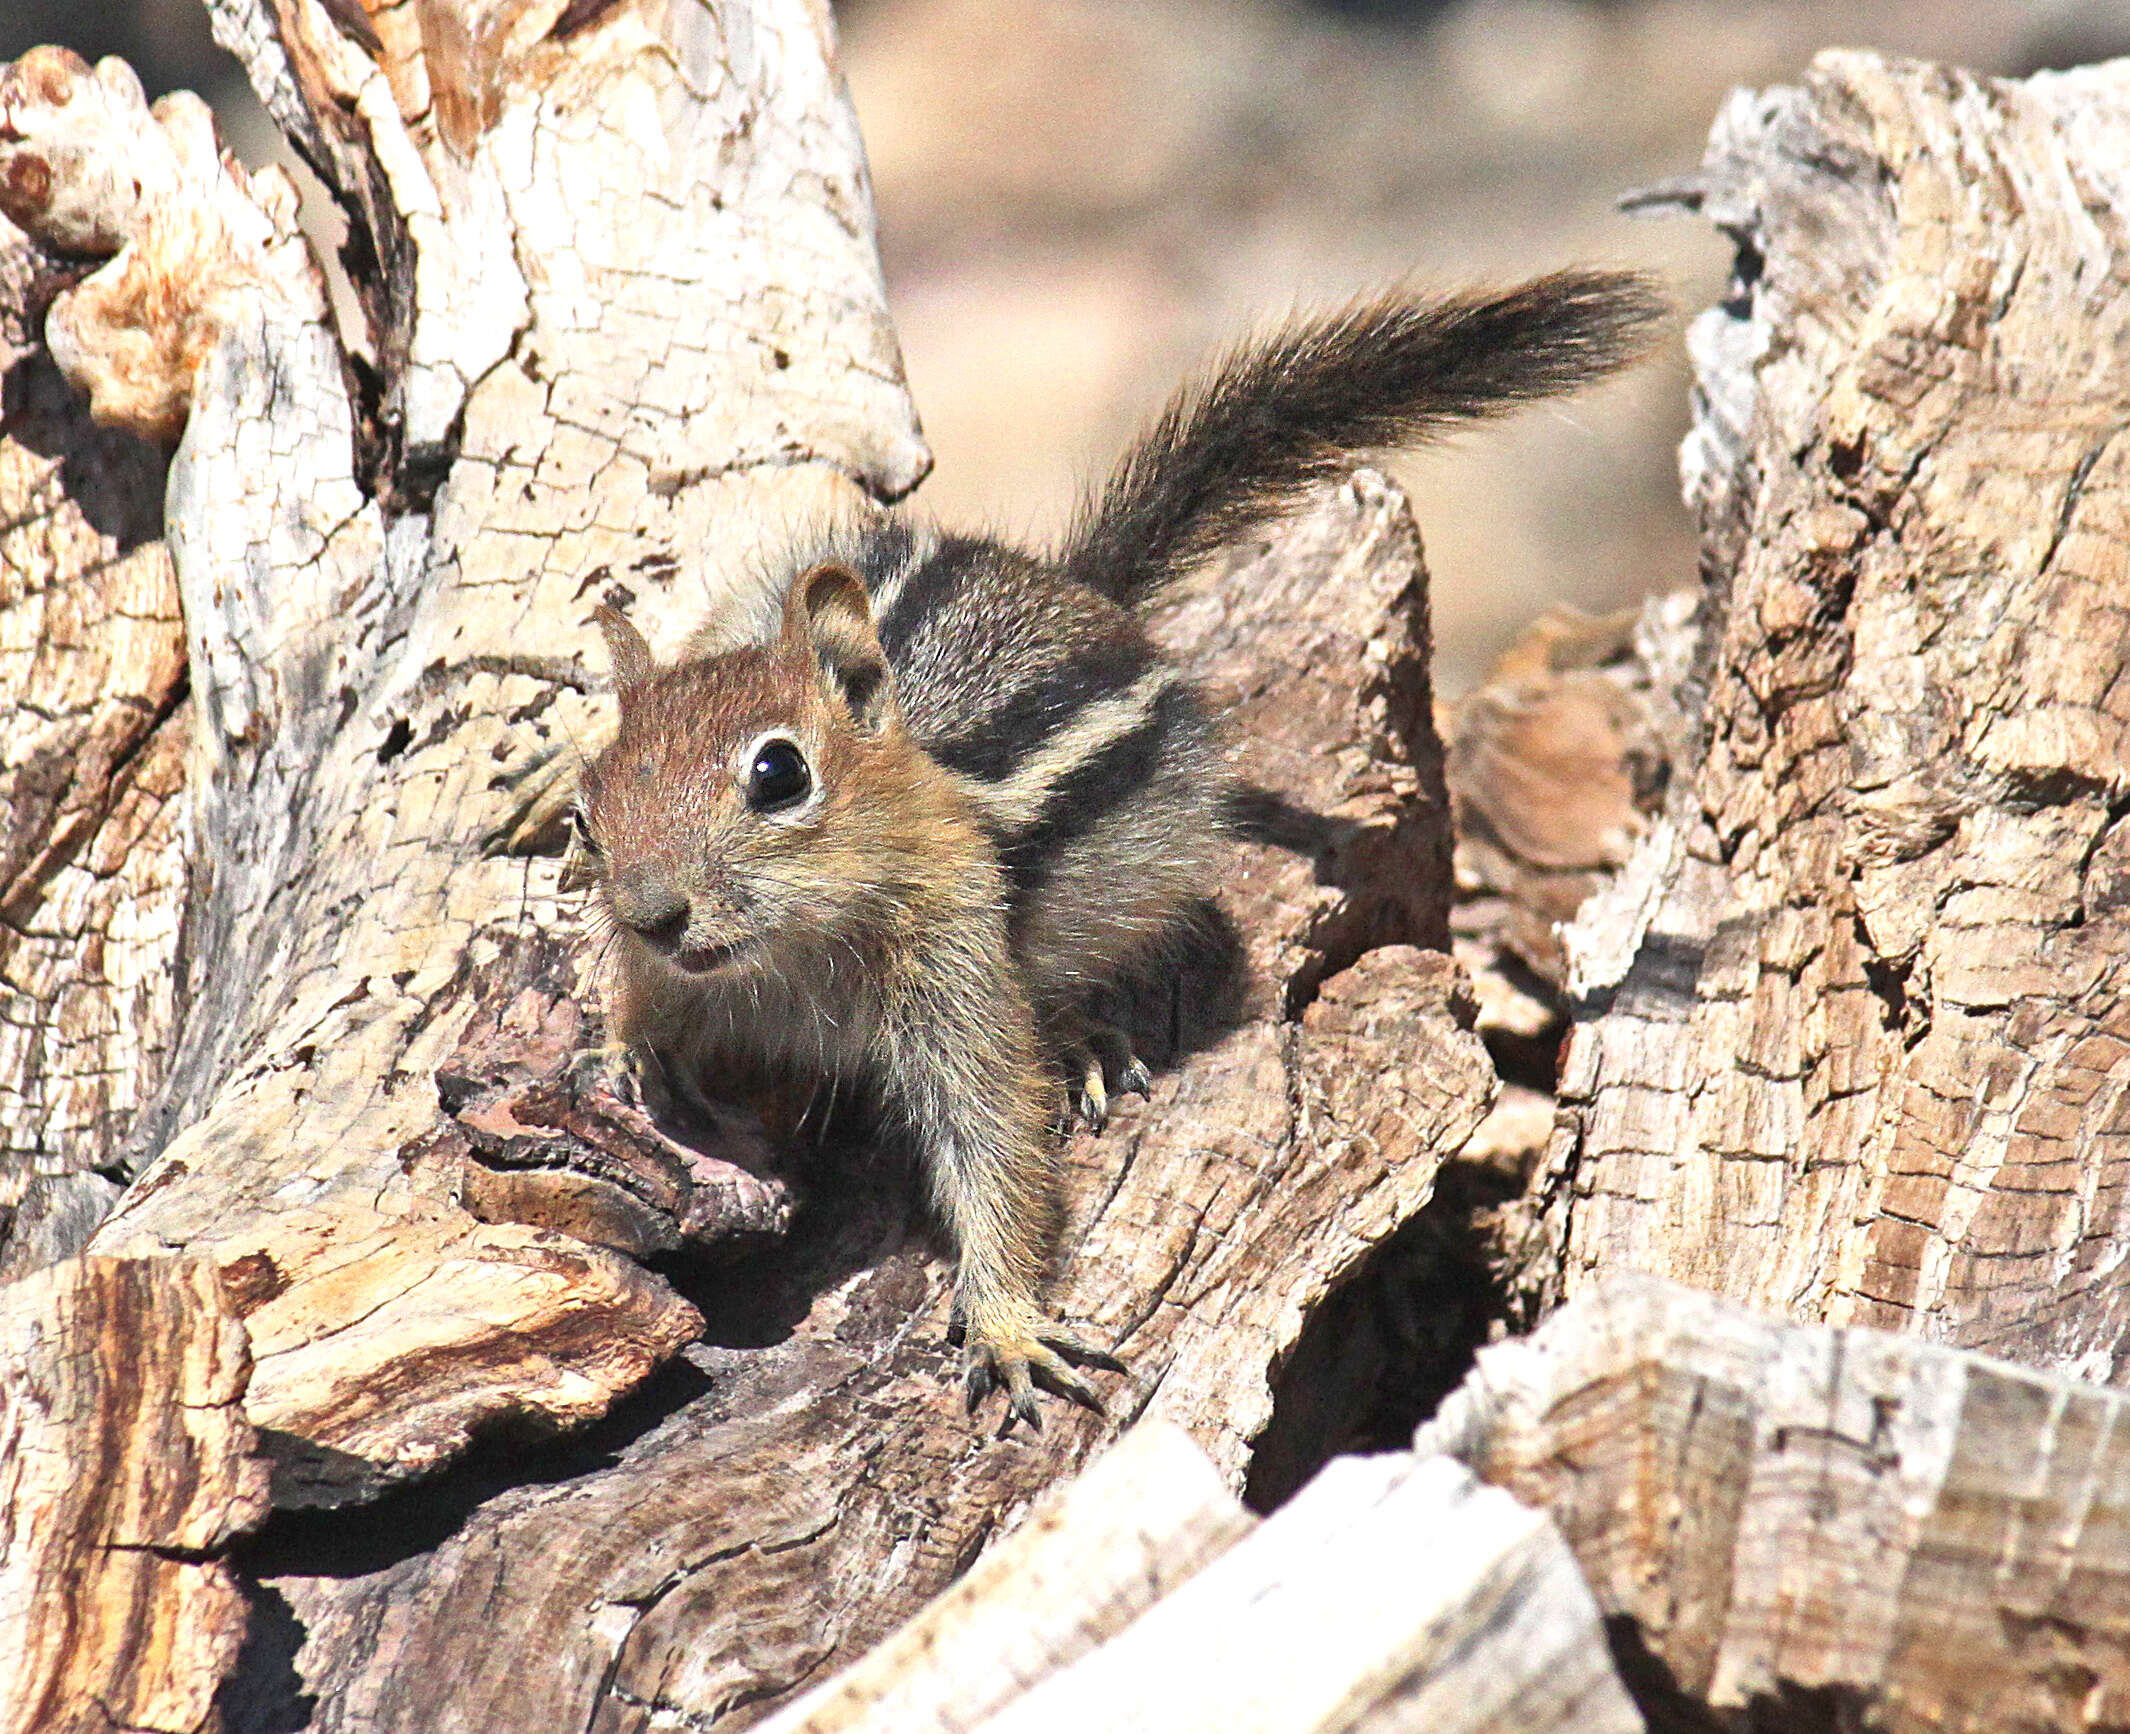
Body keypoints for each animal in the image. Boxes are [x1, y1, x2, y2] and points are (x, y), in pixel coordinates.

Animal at [579, 271, 1661, 1431]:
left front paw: (1007, 1326)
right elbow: (649, 1005)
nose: (653, 912)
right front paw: (619, 1051)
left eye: (779, 775)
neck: (785, 958)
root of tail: (1077, 589)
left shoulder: (955, 962)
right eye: (592, 805)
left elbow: (996, 1138)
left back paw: (1084, 1041)